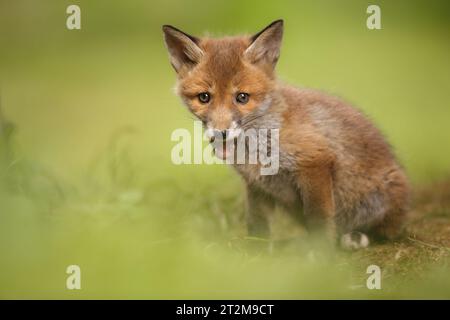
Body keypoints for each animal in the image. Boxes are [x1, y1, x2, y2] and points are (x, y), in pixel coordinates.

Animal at [162, 20, 408, 250]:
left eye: (242, 97)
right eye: (204, 97)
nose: (220, 133)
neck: (256, 149)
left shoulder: (315, 162)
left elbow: (318, 218)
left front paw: (320, 254)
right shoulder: (256, 183)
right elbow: (257, 223)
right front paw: (256, 252)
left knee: (388, 233)